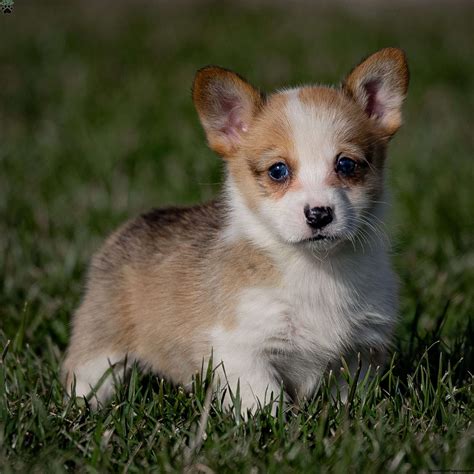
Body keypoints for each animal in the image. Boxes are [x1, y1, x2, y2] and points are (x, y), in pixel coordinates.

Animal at [63, 46, 410, 412]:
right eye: (278, 170)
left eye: (345, 164)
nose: (319, 215)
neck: (316, 268)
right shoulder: (245, 351)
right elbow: (266, 400)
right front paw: (270, 422)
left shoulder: (360, 353)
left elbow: (349, 398)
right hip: (102, 348)